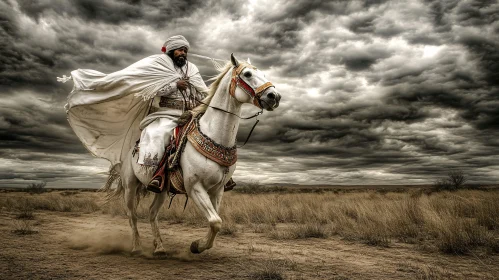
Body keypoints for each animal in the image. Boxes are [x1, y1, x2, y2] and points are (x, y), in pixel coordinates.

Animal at [105, 53, 282, 255]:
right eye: (247, 74)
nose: (274, 96)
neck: (214, 134)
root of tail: (129, 152)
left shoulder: (217, 190)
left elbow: (216, 222)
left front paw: (200, 245)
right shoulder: (195, 187)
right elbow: (215, 221)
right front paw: (197, 246)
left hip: (161, 190)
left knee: (151, 213)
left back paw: (159, 247)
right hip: (130, 186)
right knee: (132, 215)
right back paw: (136, 247)